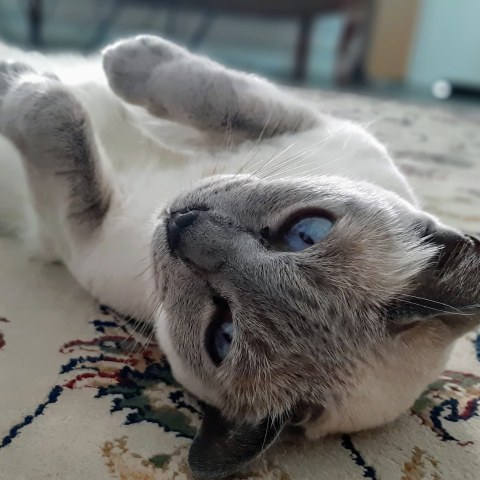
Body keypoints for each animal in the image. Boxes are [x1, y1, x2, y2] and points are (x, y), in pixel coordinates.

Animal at [0, 34, 480, 480]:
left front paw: (23, 84)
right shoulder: (307, 126)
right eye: (305, 234)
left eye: (223, 334)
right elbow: (214, 94)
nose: (180, 223)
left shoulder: (83, 234)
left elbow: (64, 136)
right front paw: (123, 56)